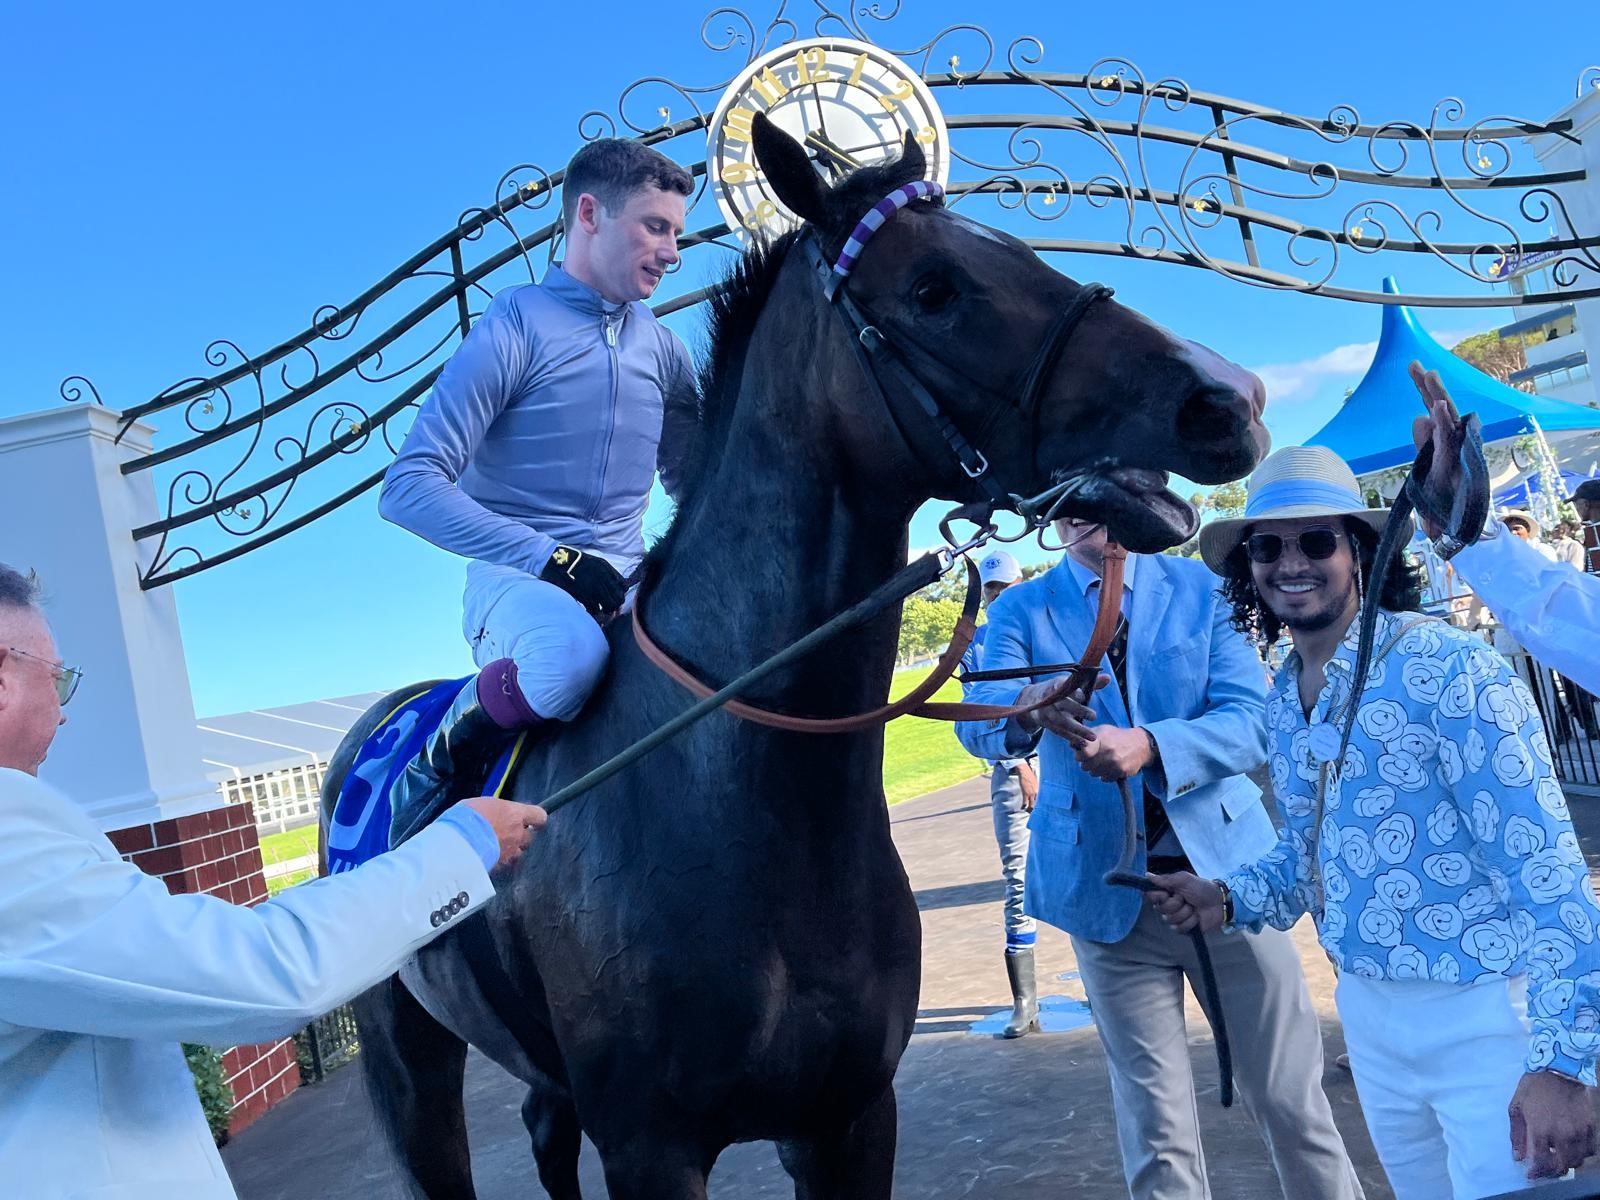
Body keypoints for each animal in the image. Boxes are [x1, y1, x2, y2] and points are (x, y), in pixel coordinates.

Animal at [324, 115, 1267, 1200]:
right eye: (933, 289)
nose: (1227, 398)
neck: (732, 796)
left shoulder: (847, 1117)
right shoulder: (650, 1147)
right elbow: (419, 475)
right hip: (408, 1061)